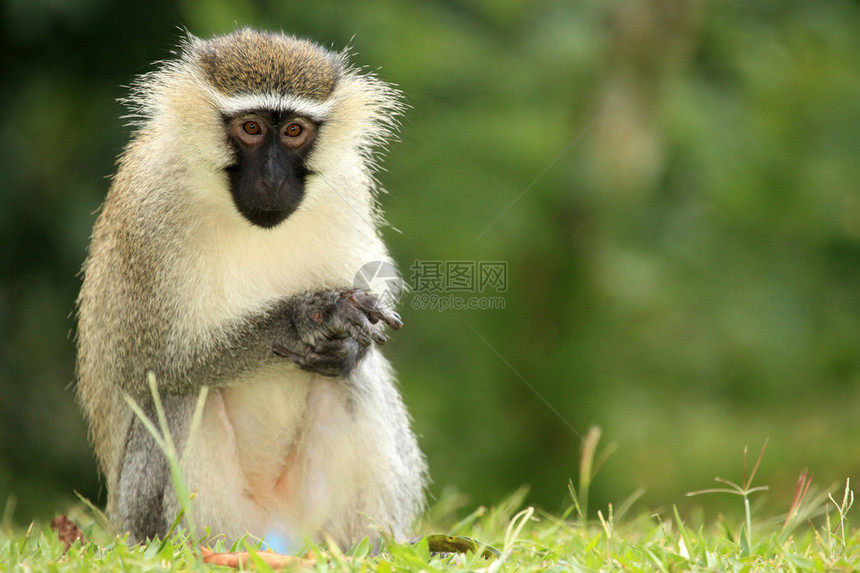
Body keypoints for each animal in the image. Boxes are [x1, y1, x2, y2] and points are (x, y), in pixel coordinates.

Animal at [75, 29, 424, 548]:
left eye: (295, 131)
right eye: (252, 128)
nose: (273, 178)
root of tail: (275, 537)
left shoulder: (347, 184)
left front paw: (344, 344)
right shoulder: (150, 209)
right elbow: (155, 365)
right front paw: (309, 316)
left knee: (352, 382)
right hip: (168, 517)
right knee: (177, 395)